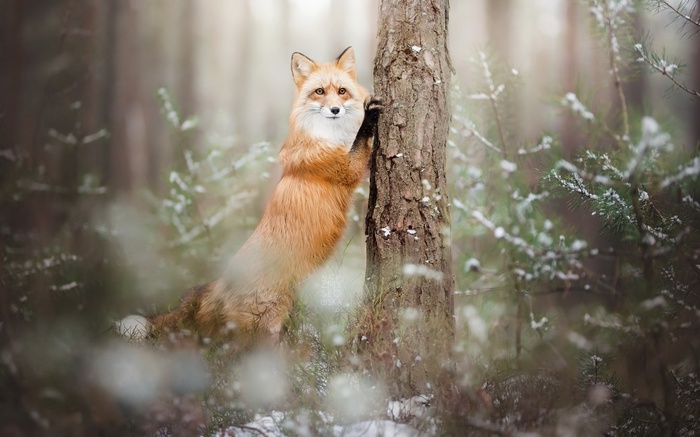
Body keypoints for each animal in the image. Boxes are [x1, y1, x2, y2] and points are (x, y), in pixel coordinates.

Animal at [117, 47, 382, 345]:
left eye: (342, 91)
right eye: (319, 91)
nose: (335, 109)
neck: (331, 136)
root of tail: (221, 282)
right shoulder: (345, 169)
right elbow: (360, 141)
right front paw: (369, 116)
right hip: (265, 327)